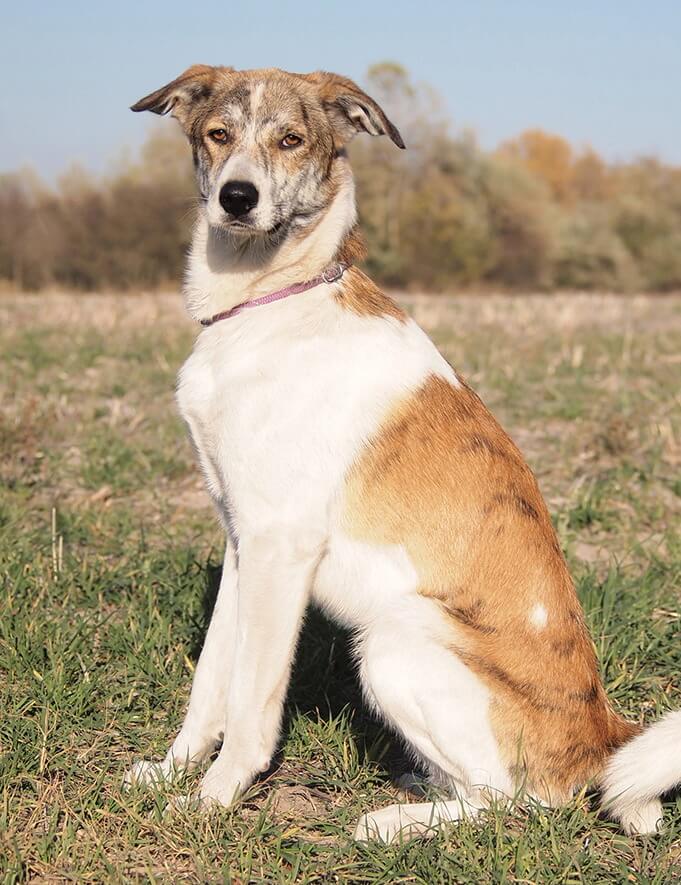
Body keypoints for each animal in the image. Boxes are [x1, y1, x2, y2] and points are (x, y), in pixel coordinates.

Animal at [126, 65, 681, 842]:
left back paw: (389, 823)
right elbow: (210, 681)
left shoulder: (281, 548)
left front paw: (212, 799)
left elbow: (251, 701)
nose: (238, 197)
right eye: (217, 134)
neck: (267, 303)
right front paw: (171, 771)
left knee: (512, 800)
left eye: (290, 140)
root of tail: (603, 737)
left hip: (393, 639)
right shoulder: (241, 540)